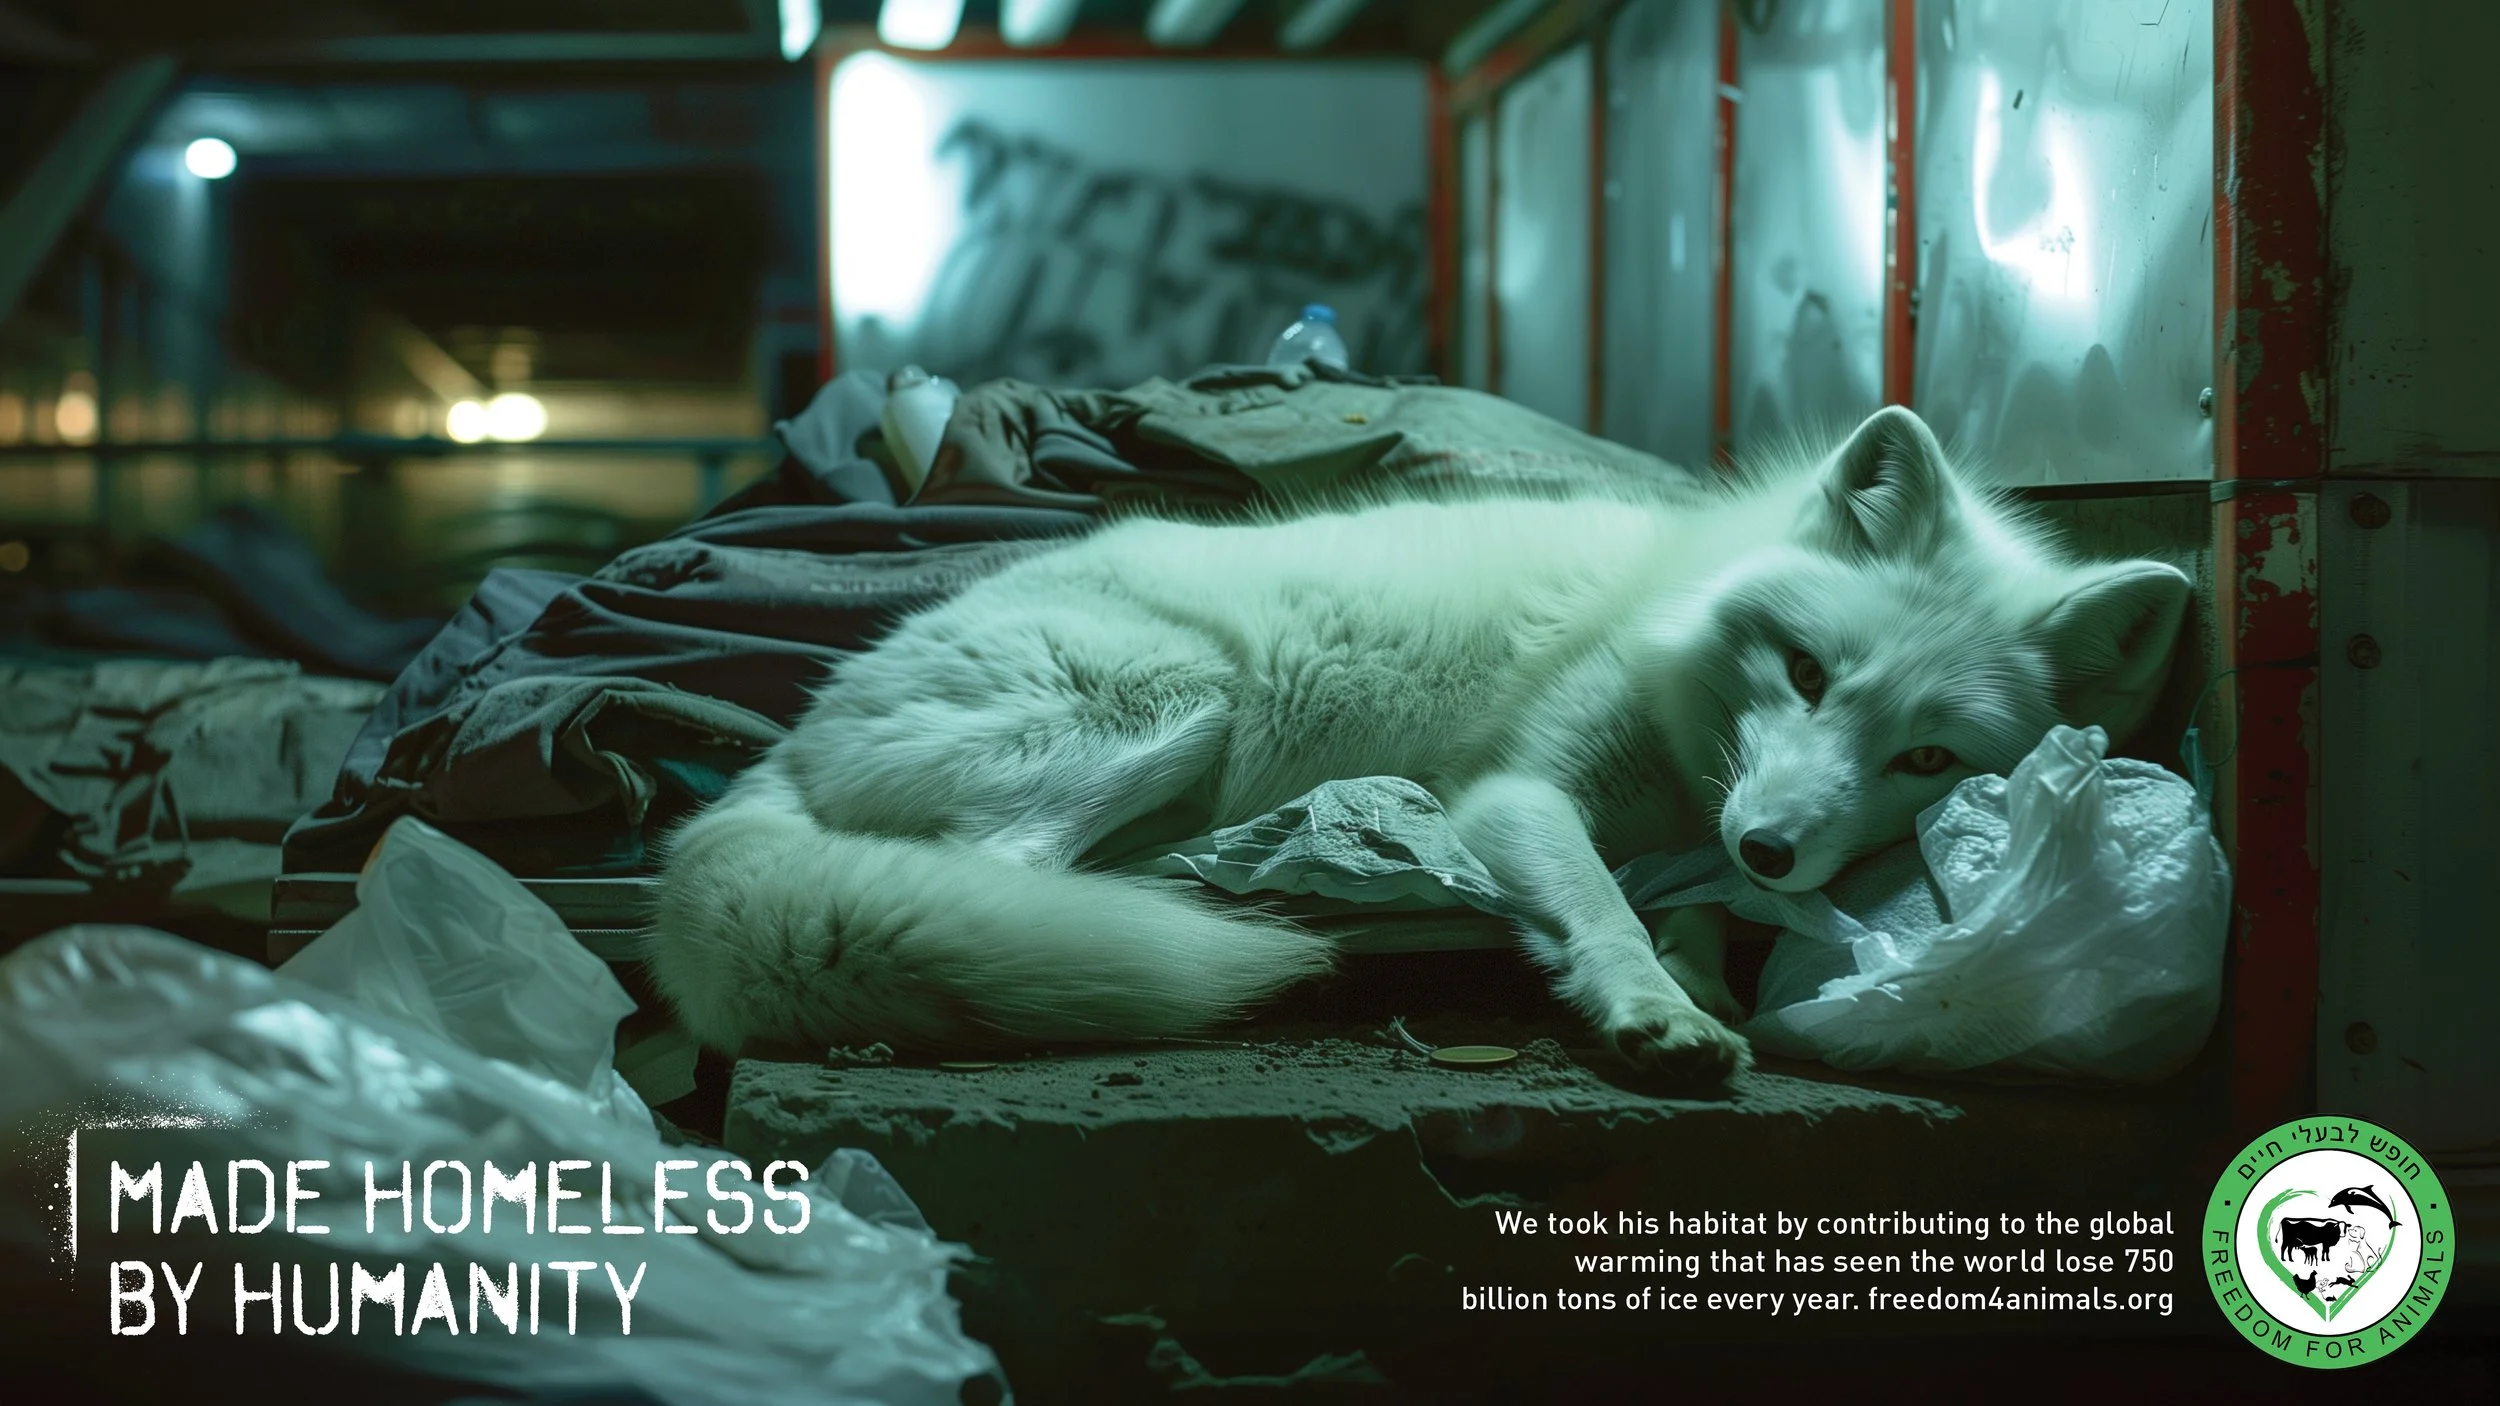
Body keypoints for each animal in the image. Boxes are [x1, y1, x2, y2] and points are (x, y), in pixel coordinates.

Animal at [645, 406, 2191, 1084]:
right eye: (1806, 671)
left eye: (1929, 759)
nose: (1770, 850)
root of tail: (790, 740)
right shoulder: (1511, 793)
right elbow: (1603, 910)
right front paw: (1652, 1007)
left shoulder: (1677, 833)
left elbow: (1671, 906)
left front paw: (1703, 968)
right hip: (1181, 702)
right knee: (1006, 865)